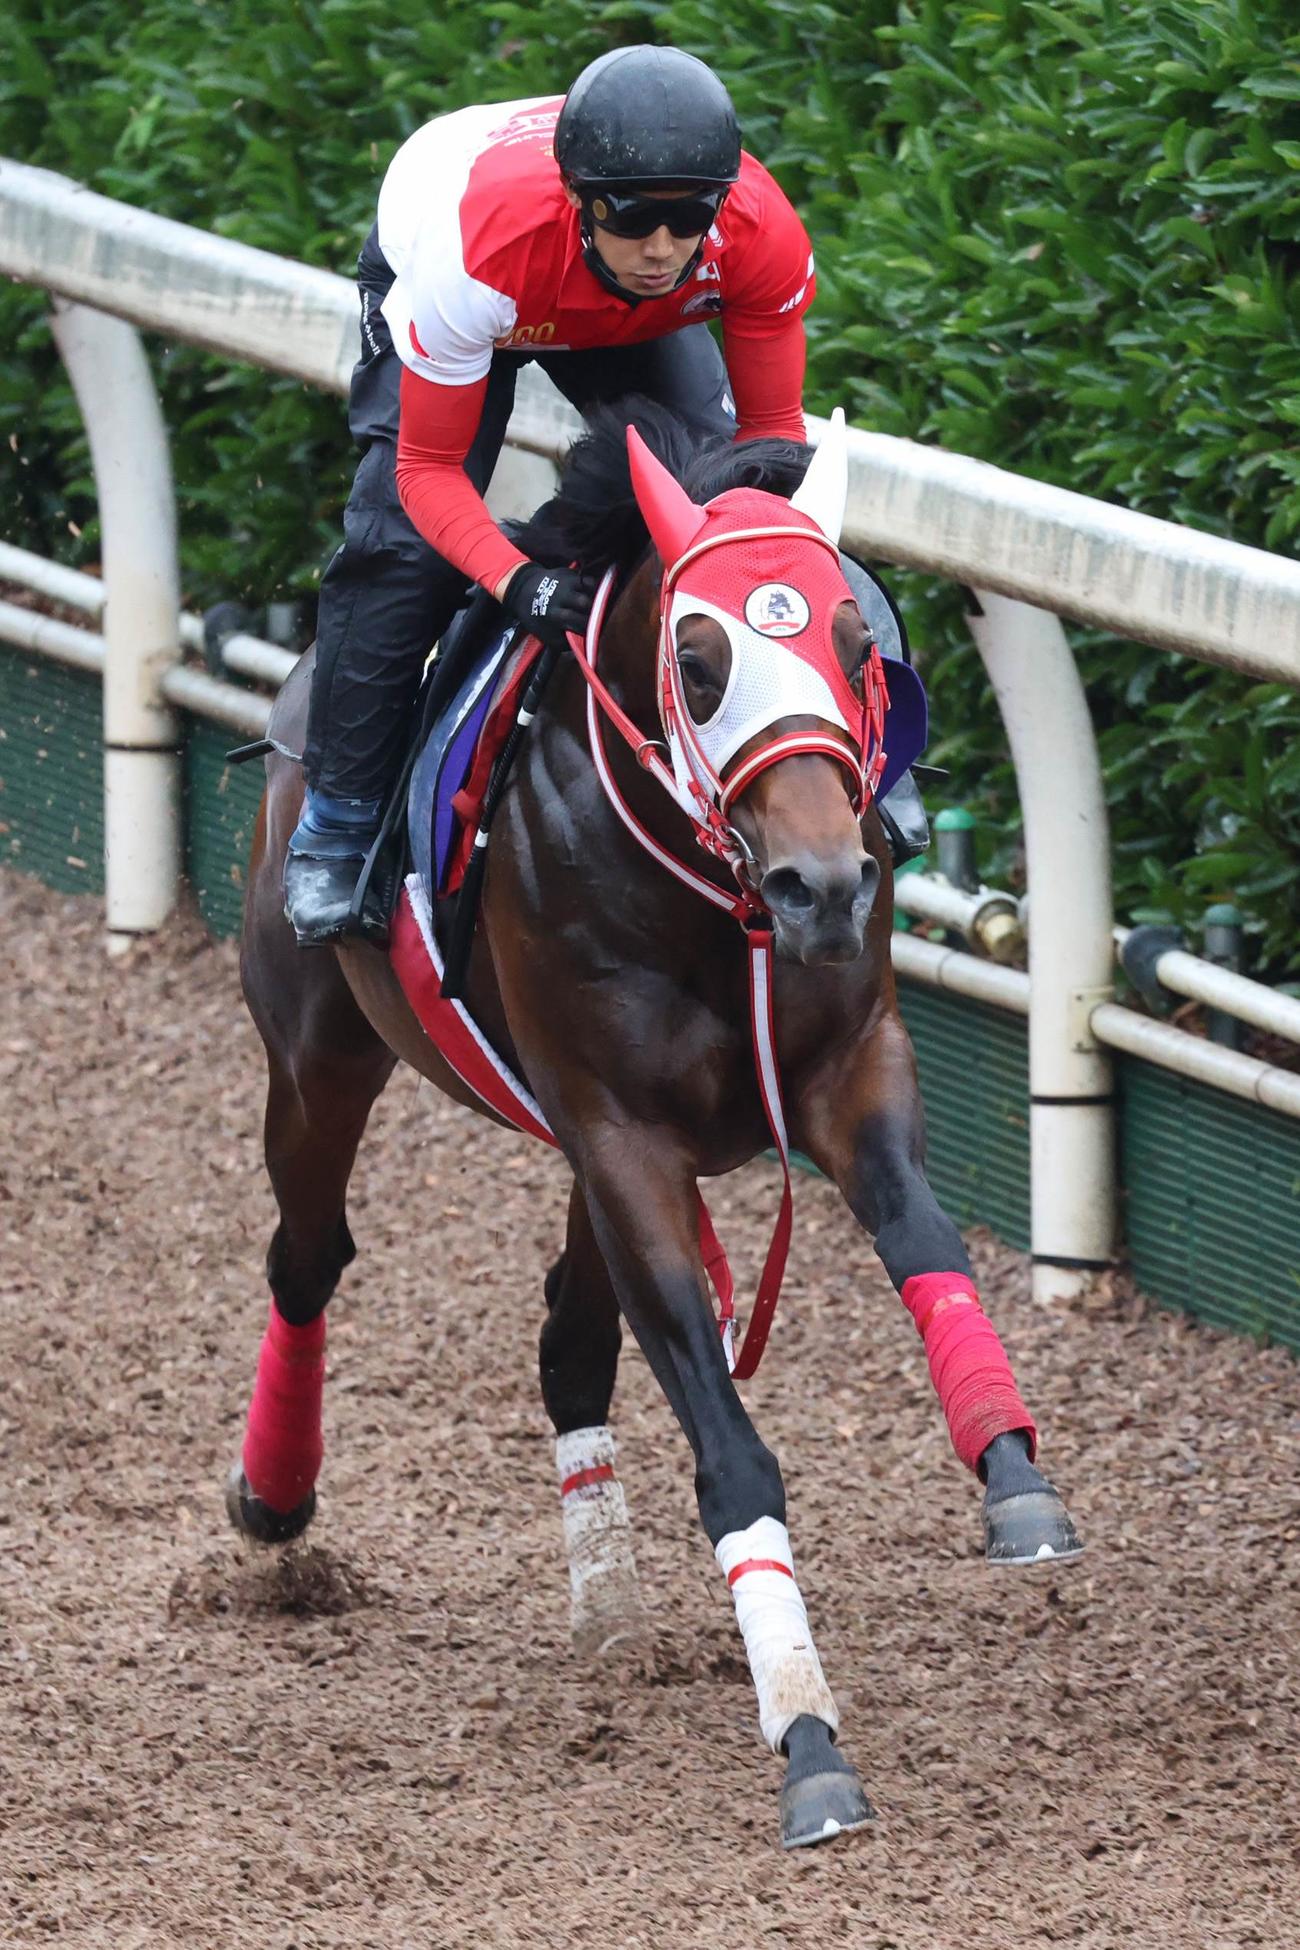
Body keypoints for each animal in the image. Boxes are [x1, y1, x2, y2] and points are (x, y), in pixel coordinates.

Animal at [227, 399, 1083, 1851]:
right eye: (698, 656)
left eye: (859, 642)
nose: (824, 884)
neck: (709, 900)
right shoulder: (622, 1133)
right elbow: (731, 1452)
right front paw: (808, 1743)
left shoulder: (851, 1065)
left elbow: (927, 1243)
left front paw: (1014, 1478)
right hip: (325, 1053)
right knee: (310, 1254)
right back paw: (275, 1497)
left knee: (567, 1346)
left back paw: (610, 1611)